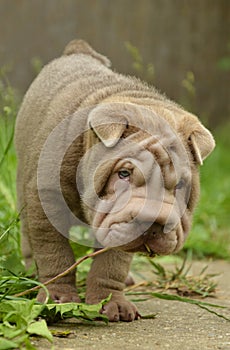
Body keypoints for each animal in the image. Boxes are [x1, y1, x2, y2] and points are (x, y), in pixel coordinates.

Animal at [15, 39, 215, 322]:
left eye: (180, 185)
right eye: (123, 174)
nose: (153, 223)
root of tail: (77, 51)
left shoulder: (119, 219)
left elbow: (112, 263)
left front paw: (112, 303)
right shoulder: (46, 199)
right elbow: (54, 251)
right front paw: (58, 299)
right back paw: (32, 275)